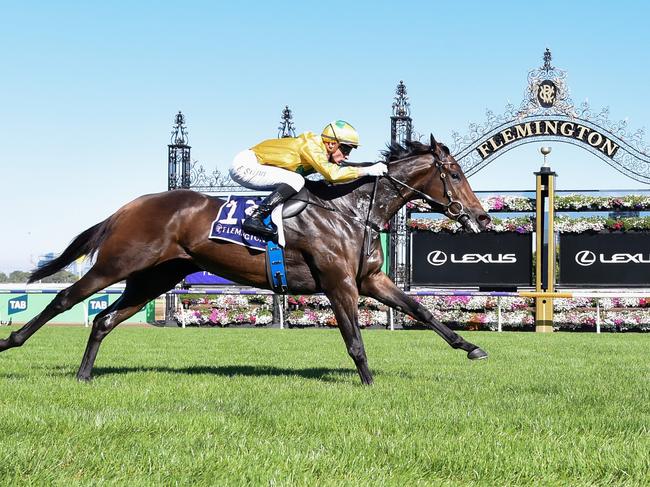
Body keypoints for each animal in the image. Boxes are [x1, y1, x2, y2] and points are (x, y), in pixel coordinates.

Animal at [0, 136, 486, 386]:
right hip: (117, 265)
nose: (480, 216)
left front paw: (471, 347)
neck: (350, 208)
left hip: (154, 279)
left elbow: (421, 310)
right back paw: (11, 342)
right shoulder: (338, 282)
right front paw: (368, 384)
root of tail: (129, 206)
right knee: (64, 298)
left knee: (103, 320)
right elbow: (354, 340)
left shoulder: (370, 280)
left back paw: (84, 375)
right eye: (454, 174)